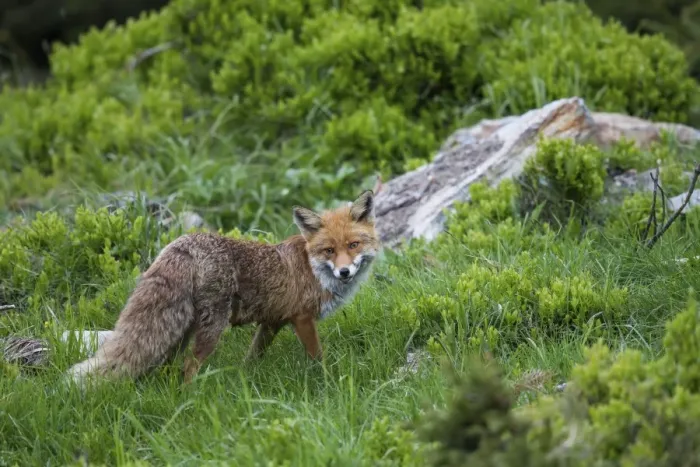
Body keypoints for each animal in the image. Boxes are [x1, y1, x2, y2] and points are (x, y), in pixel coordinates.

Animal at [66, 190, 379, 385]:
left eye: (353, 245)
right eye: (329, 250)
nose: (344, 271)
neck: (313, 269)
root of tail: (182, 242)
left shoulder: (273, 321)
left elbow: (253, 356)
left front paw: (245, 376)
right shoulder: (302, 318)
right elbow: (318, 358)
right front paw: (326, 381)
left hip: (179, 330)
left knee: (165, 363)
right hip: (212, 327)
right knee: (189, 366)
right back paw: (190, 398)